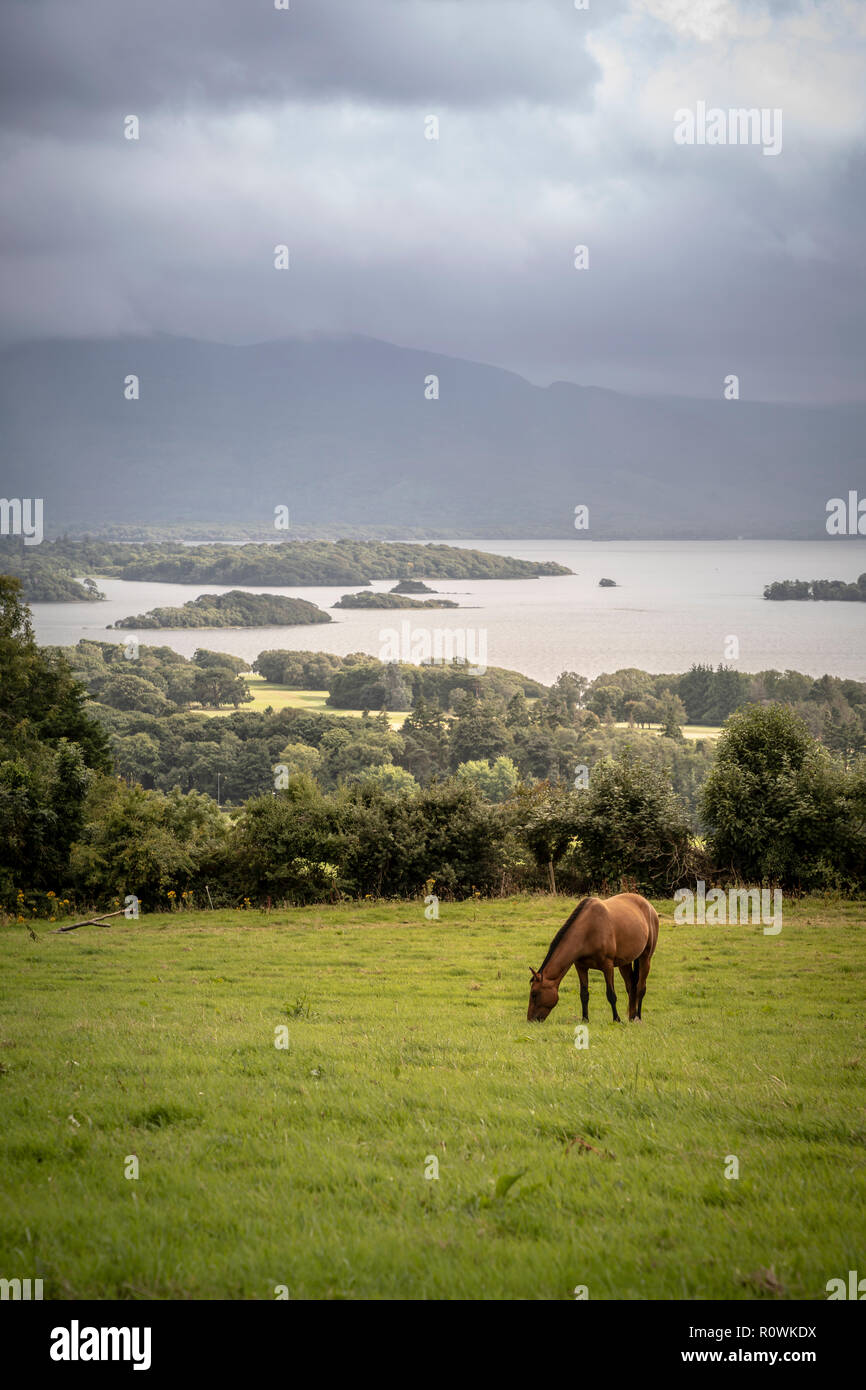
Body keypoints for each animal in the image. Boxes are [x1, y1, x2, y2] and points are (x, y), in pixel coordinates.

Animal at [528, 889, 656, 1023]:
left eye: (534, 994)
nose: (530, 1020)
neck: (588, 930)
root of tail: (648, 905)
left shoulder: (607, 966)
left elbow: (611, 995)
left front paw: (616, 1019)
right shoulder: (581, 967)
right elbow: (584, 994)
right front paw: (585, 1019)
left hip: (645, 958)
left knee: (641, 988)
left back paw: (638, 1017)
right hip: (625, 963)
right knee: (631, 987)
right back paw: (631, 1017)